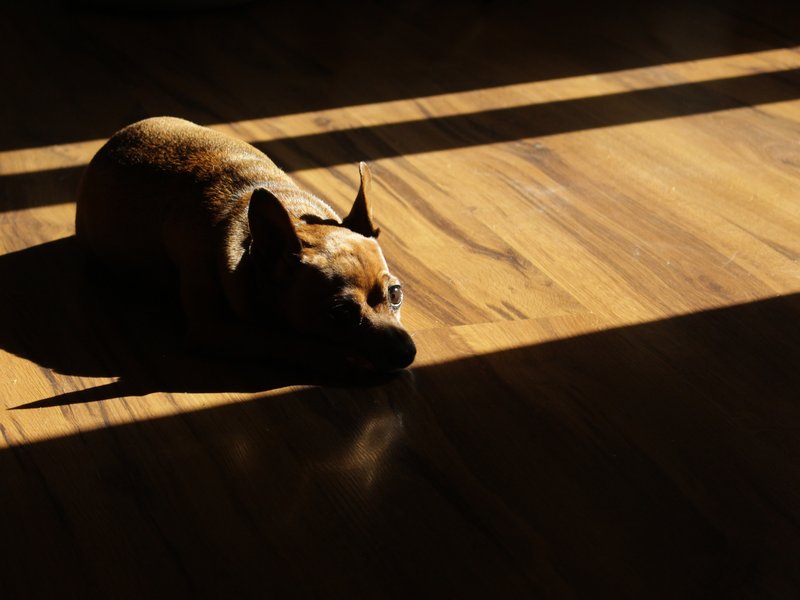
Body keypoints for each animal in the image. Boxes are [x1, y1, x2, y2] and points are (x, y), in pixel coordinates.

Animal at [76, 115, 416, 372]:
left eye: (395, 293)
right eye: (340, 314)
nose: (407, 352)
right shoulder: (215, 328)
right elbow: (284, 341)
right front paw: (344, 357)